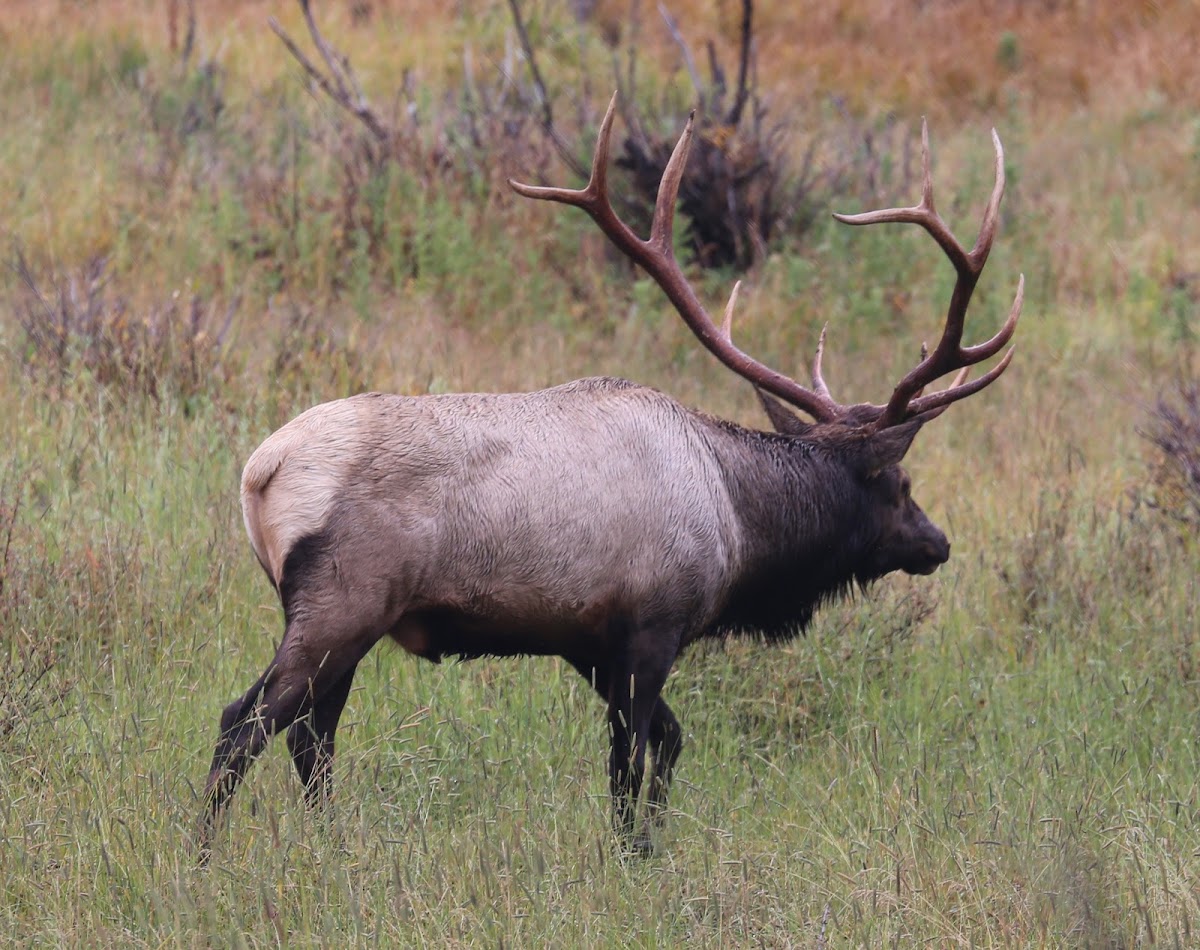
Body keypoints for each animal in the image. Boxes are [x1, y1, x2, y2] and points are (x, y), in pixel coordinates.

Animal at [196, 94, 1022, 854]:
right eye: (899, 486)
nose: (938, 543)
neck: (738, 521)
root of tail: (260, 471)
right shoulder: (653, 627)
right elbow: (629, 762)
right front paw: (630, 855)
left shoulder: (588, 644)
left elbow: (669, 743)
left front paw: (651, 844)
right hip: (343, 604)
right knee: (245, 723)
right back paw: (203, 856)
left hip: (340, 618)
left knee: (312, 736)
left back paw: (333, 847)